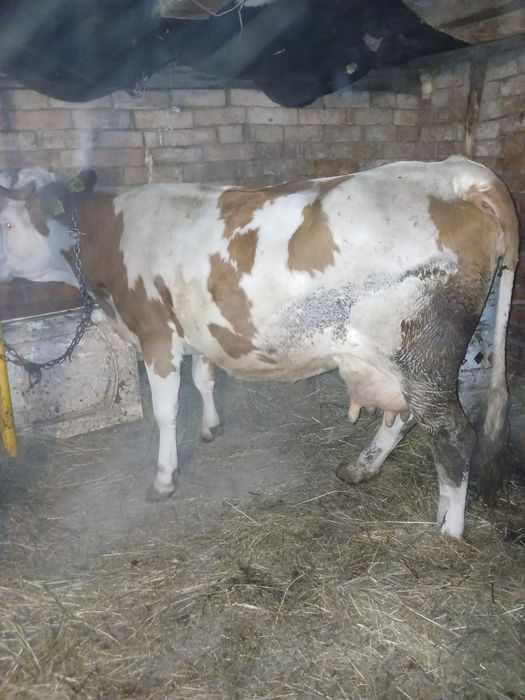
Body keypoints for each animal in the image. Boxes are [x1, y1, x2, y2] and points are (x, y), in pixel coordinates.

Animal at [0, 157, 519, 538]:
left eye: (5, 222)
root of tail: (456, 172)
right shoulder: (201, 327)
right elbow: (204, 377)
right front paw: (211, 427)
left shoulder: (155, 332)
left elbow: (166, 410)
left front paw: (164, 479)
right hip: (423, 355)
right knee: (407, 416)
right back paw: (362, 468)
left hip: (421, 351)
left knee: (452, 432)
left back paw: (448, 531)